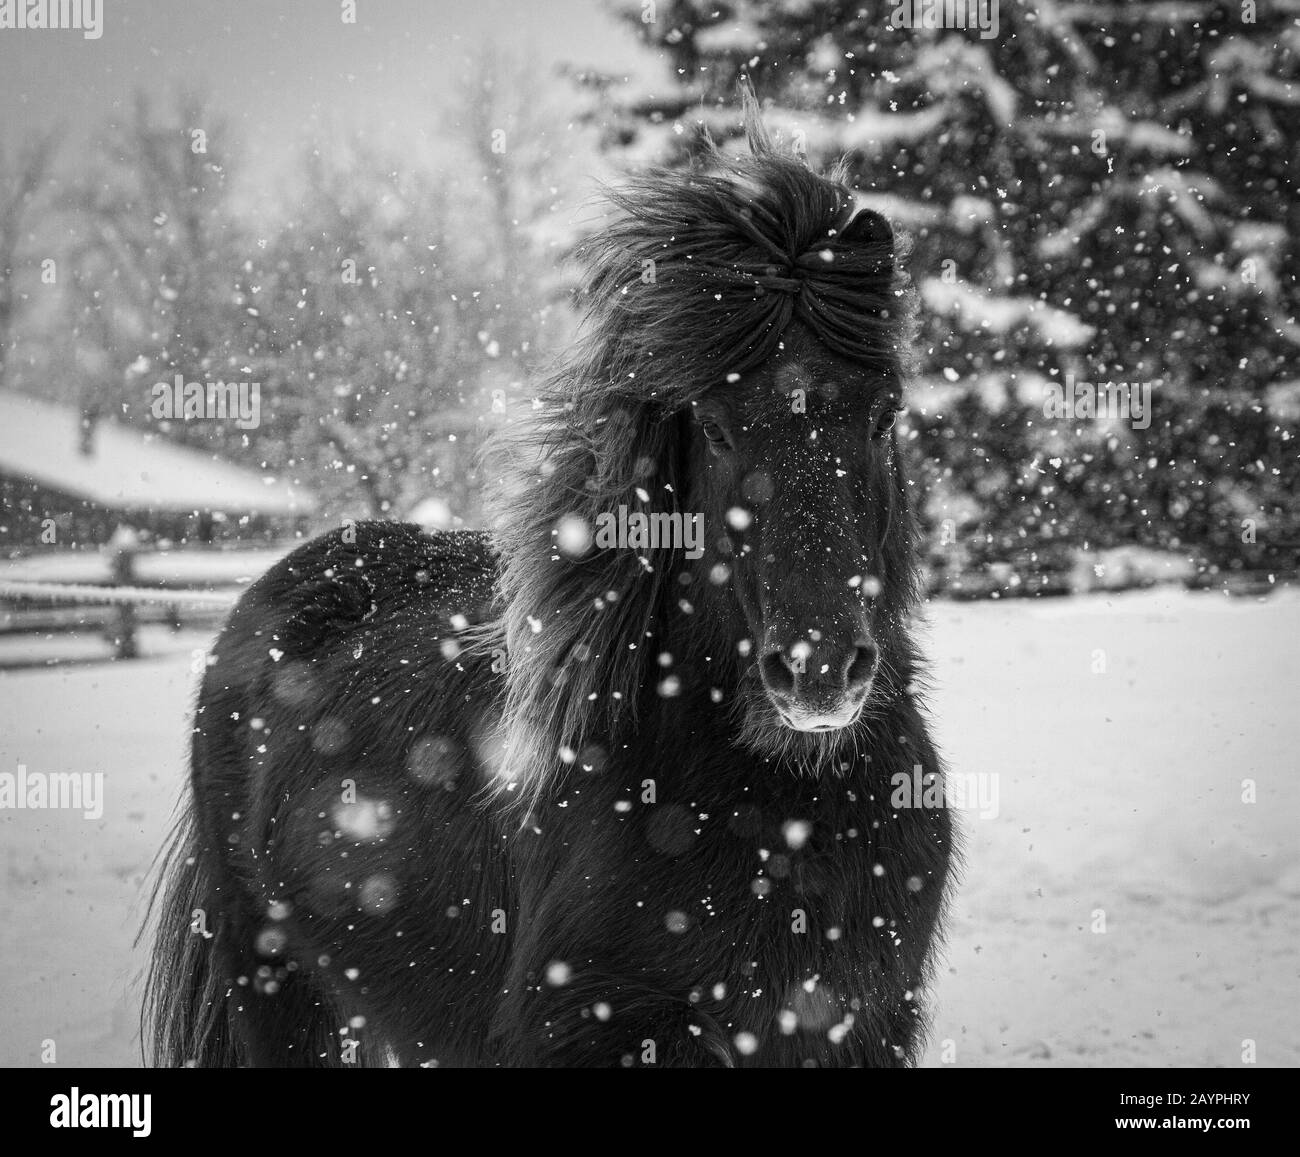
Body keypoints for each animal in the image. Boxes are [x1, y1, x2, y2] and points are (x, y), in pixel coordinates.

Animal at [144, 107, 956, 1066]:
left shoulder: (861, 1025)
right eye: (715, 427)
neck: (783, 809)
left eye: (884, 412)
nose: (820, 669)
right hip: (274, 989)